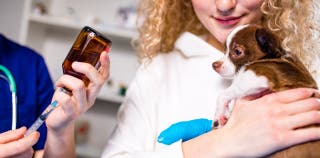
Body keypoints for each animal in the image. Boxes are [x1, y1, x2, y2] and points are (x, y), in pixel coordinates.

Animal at [212, 24, 320, 157]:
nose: (214, 65)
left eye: (237, 52)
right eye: (224, 50)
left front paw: (219, 115)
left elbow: (224, 94)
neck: (274, 56)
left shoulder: (256, 78)